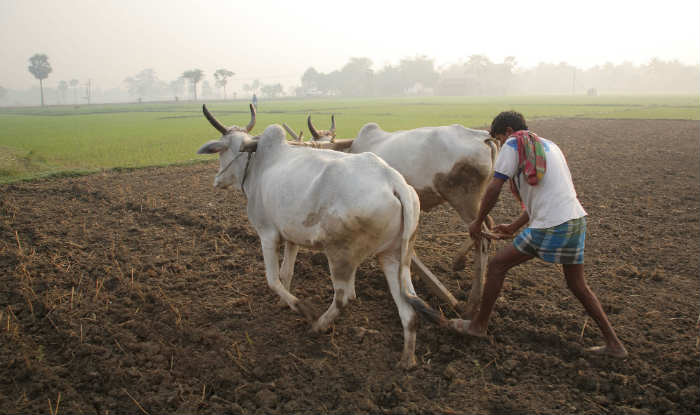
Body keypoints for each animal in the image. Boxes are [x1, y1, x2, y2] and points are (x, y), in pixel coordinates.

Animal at [197, 105, 448, 368]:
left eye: (221, 151)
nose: (217, 181)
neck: (257, 164)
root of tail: (394, 181)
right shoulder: (291, 238)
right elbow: (286, 274)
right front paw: (283, 304)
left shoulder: (267, 234)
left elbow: (273, 279)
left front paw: (300, 307)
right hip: (394, 255)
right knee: (408, 308)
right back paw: (407, 359)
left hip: (339, 254)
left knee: (343, 298)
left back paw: (318, 325)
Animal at [304, 116, 499, 318]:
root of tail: (482, 137)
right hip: (477, 199)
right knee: (488, 226)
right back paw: (459, 263)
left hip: (463, 197)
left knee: (482, 236)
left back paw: (472, 304)